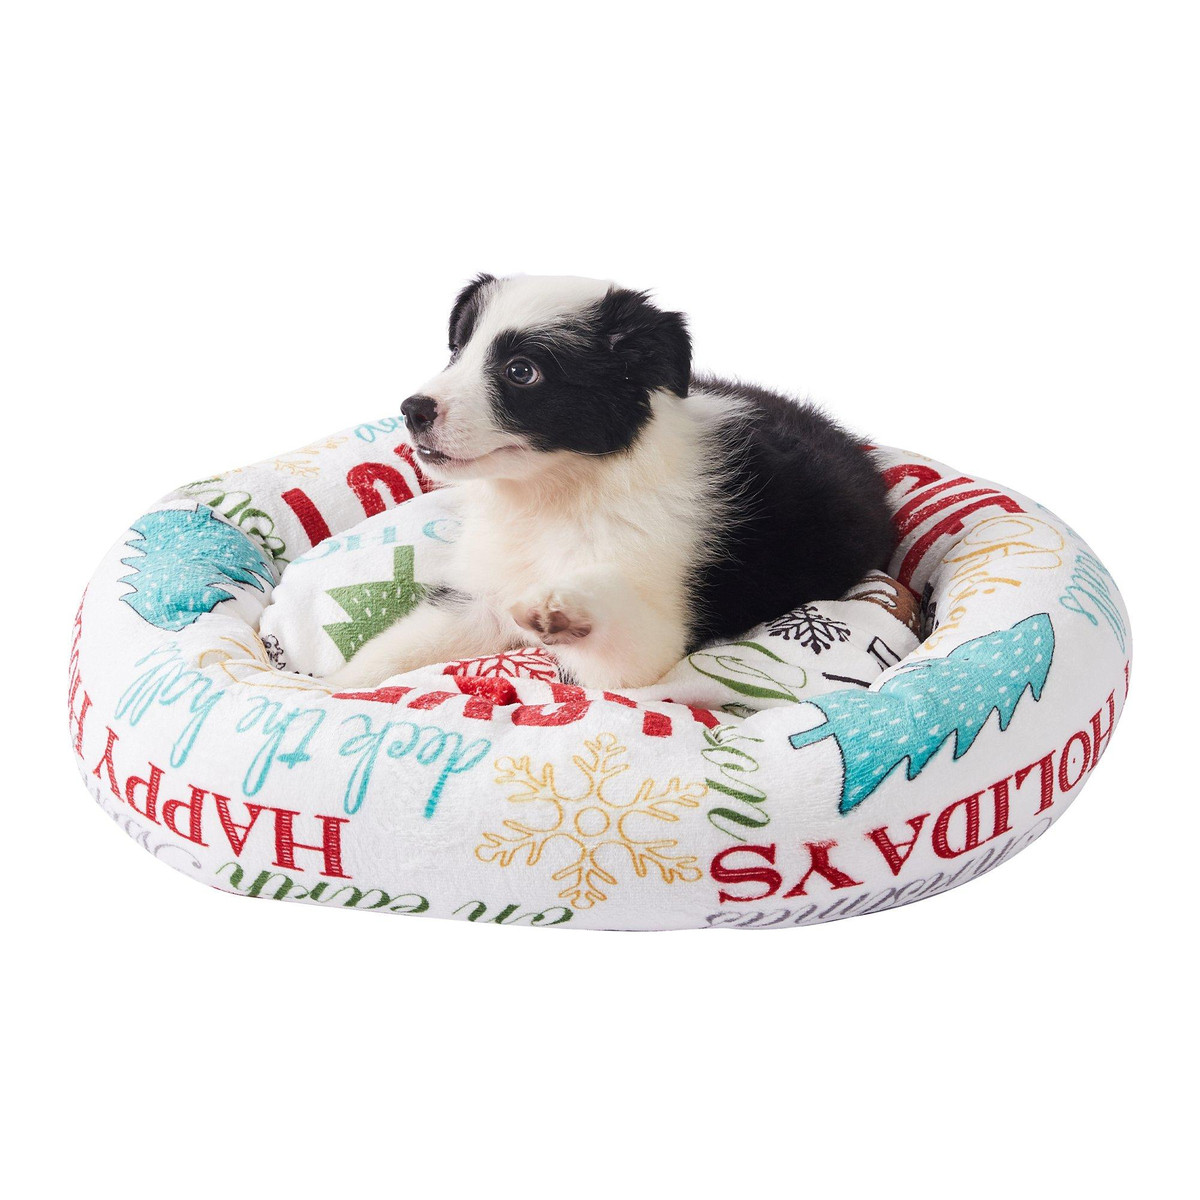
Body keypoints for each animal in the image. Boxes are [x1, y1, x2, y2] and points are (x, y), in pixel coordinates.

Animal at [328, 274, 896, 690]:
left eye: (521, 371)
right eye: (456, 351)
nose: (413, 411)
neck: (551, 497)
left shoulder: (656, 631)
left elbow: (625, 639)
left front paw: (569, 608)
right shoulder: (479, 598)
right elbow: (392, 650)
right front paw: (328, 689)